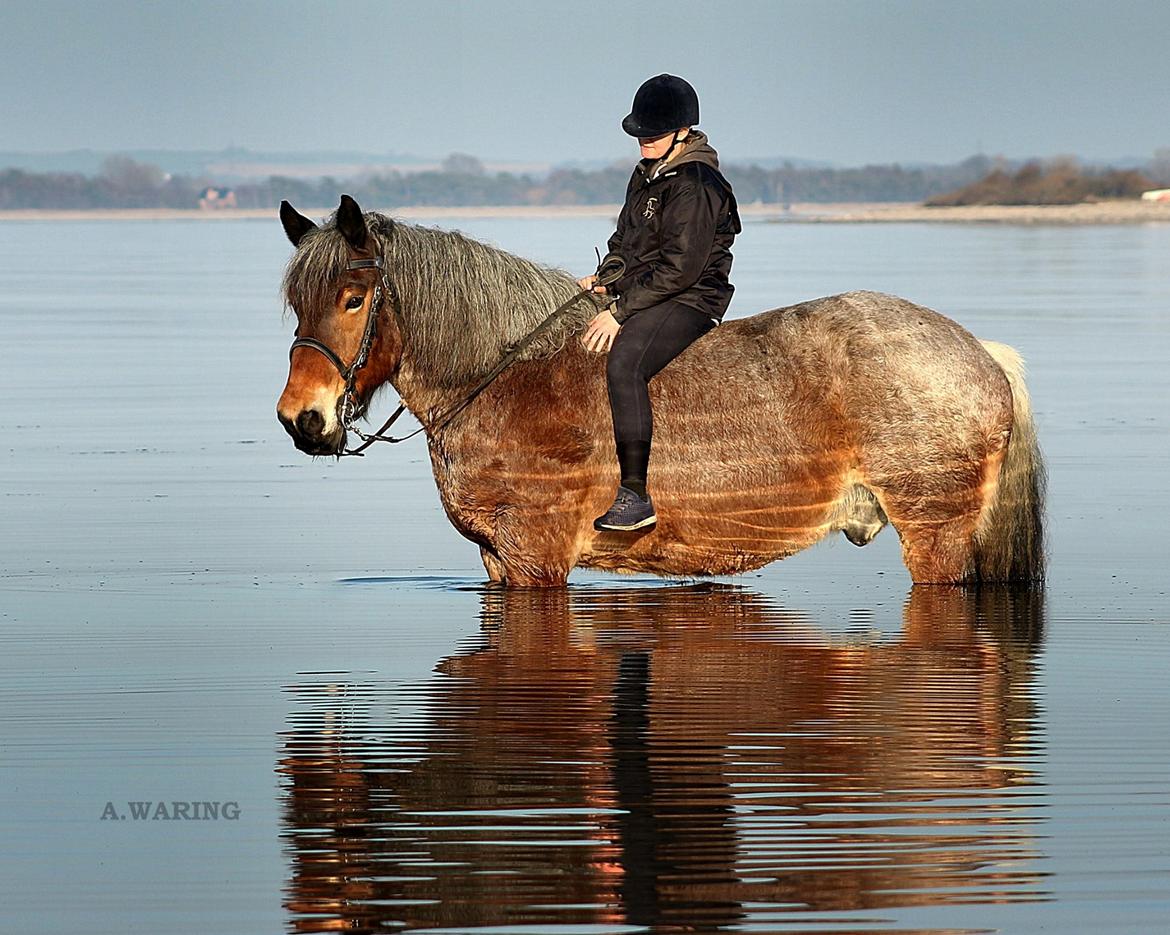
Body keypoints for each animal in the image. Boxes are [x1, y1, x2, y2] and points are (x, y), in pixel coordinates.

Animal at [273, 194, 1043, 589]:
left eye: (352, 299)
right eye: (296, 304)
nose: (301, 419)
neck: (504, 375)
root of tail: (980, 352)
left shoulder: (535, 559)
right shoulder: (495, 561)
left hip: (936, 535)